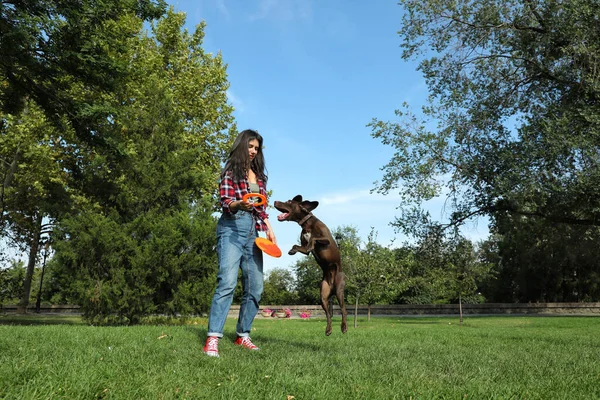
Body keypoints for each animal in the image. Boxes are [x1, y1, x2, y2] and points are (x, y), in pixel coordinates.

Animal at [276, 195, 350, 334]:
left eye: (289, 202)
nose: (275, 201)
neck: (306, 224)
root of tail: (332, 287)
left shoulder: (326, 239)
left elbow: (314, 238)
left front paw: (311, 243)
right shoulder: (304, 249)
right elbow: (298, 246)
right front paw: (292, 250)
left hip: (339, 290)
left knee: (344, 310)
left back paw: (344, 327)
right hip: (323, 295)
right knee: (328, 314)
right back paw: (328, 329)